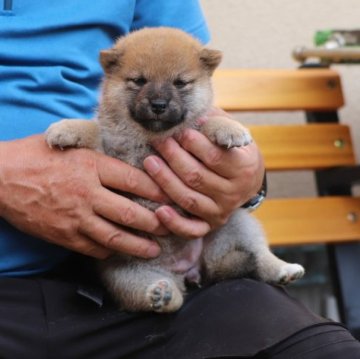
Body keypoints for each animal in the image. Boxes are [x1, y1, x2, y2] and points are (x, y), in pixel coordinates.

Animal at [45, 27, 304, 312]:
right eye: (139, 80)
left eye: (180, 83)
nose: (158, 104)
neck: (150, 138)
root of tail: (189, 268)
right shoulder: (109, 151)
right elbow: (93, 130)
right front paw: (66, 128)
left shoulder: (192, 131)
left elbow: (206, 123)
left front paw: (230, 129)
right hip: (126, 275)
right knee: (165, 298)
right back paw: (161, 294)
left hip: (237, 225)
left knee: (259, 255)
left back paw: (283, 268)